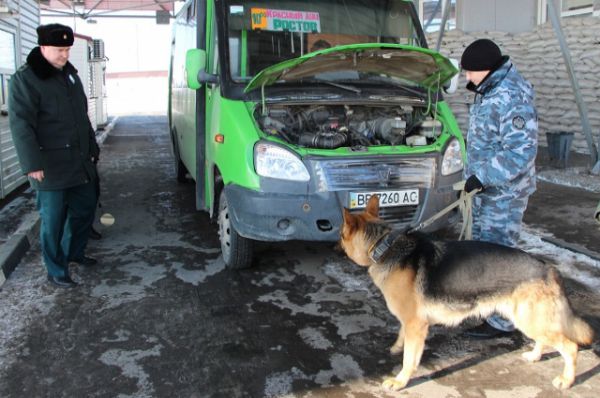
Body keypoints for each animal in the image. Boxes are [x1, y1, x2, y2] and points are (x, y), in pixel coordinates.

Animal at [340, 197, 592, 390]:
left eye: (342, 236)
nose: (336, 245)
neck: (383, 247)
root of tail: (548, 269)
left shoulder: (416, 325)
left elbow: (410, 359)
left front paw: (400, 381)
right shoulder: (410, 322)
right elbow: (402, 336)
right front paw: (396, 347)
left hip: (531, 320)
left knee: (570, 347)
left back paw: (566, 380)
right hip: (529, 321)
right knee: (544, 340)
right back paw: (534, 356)